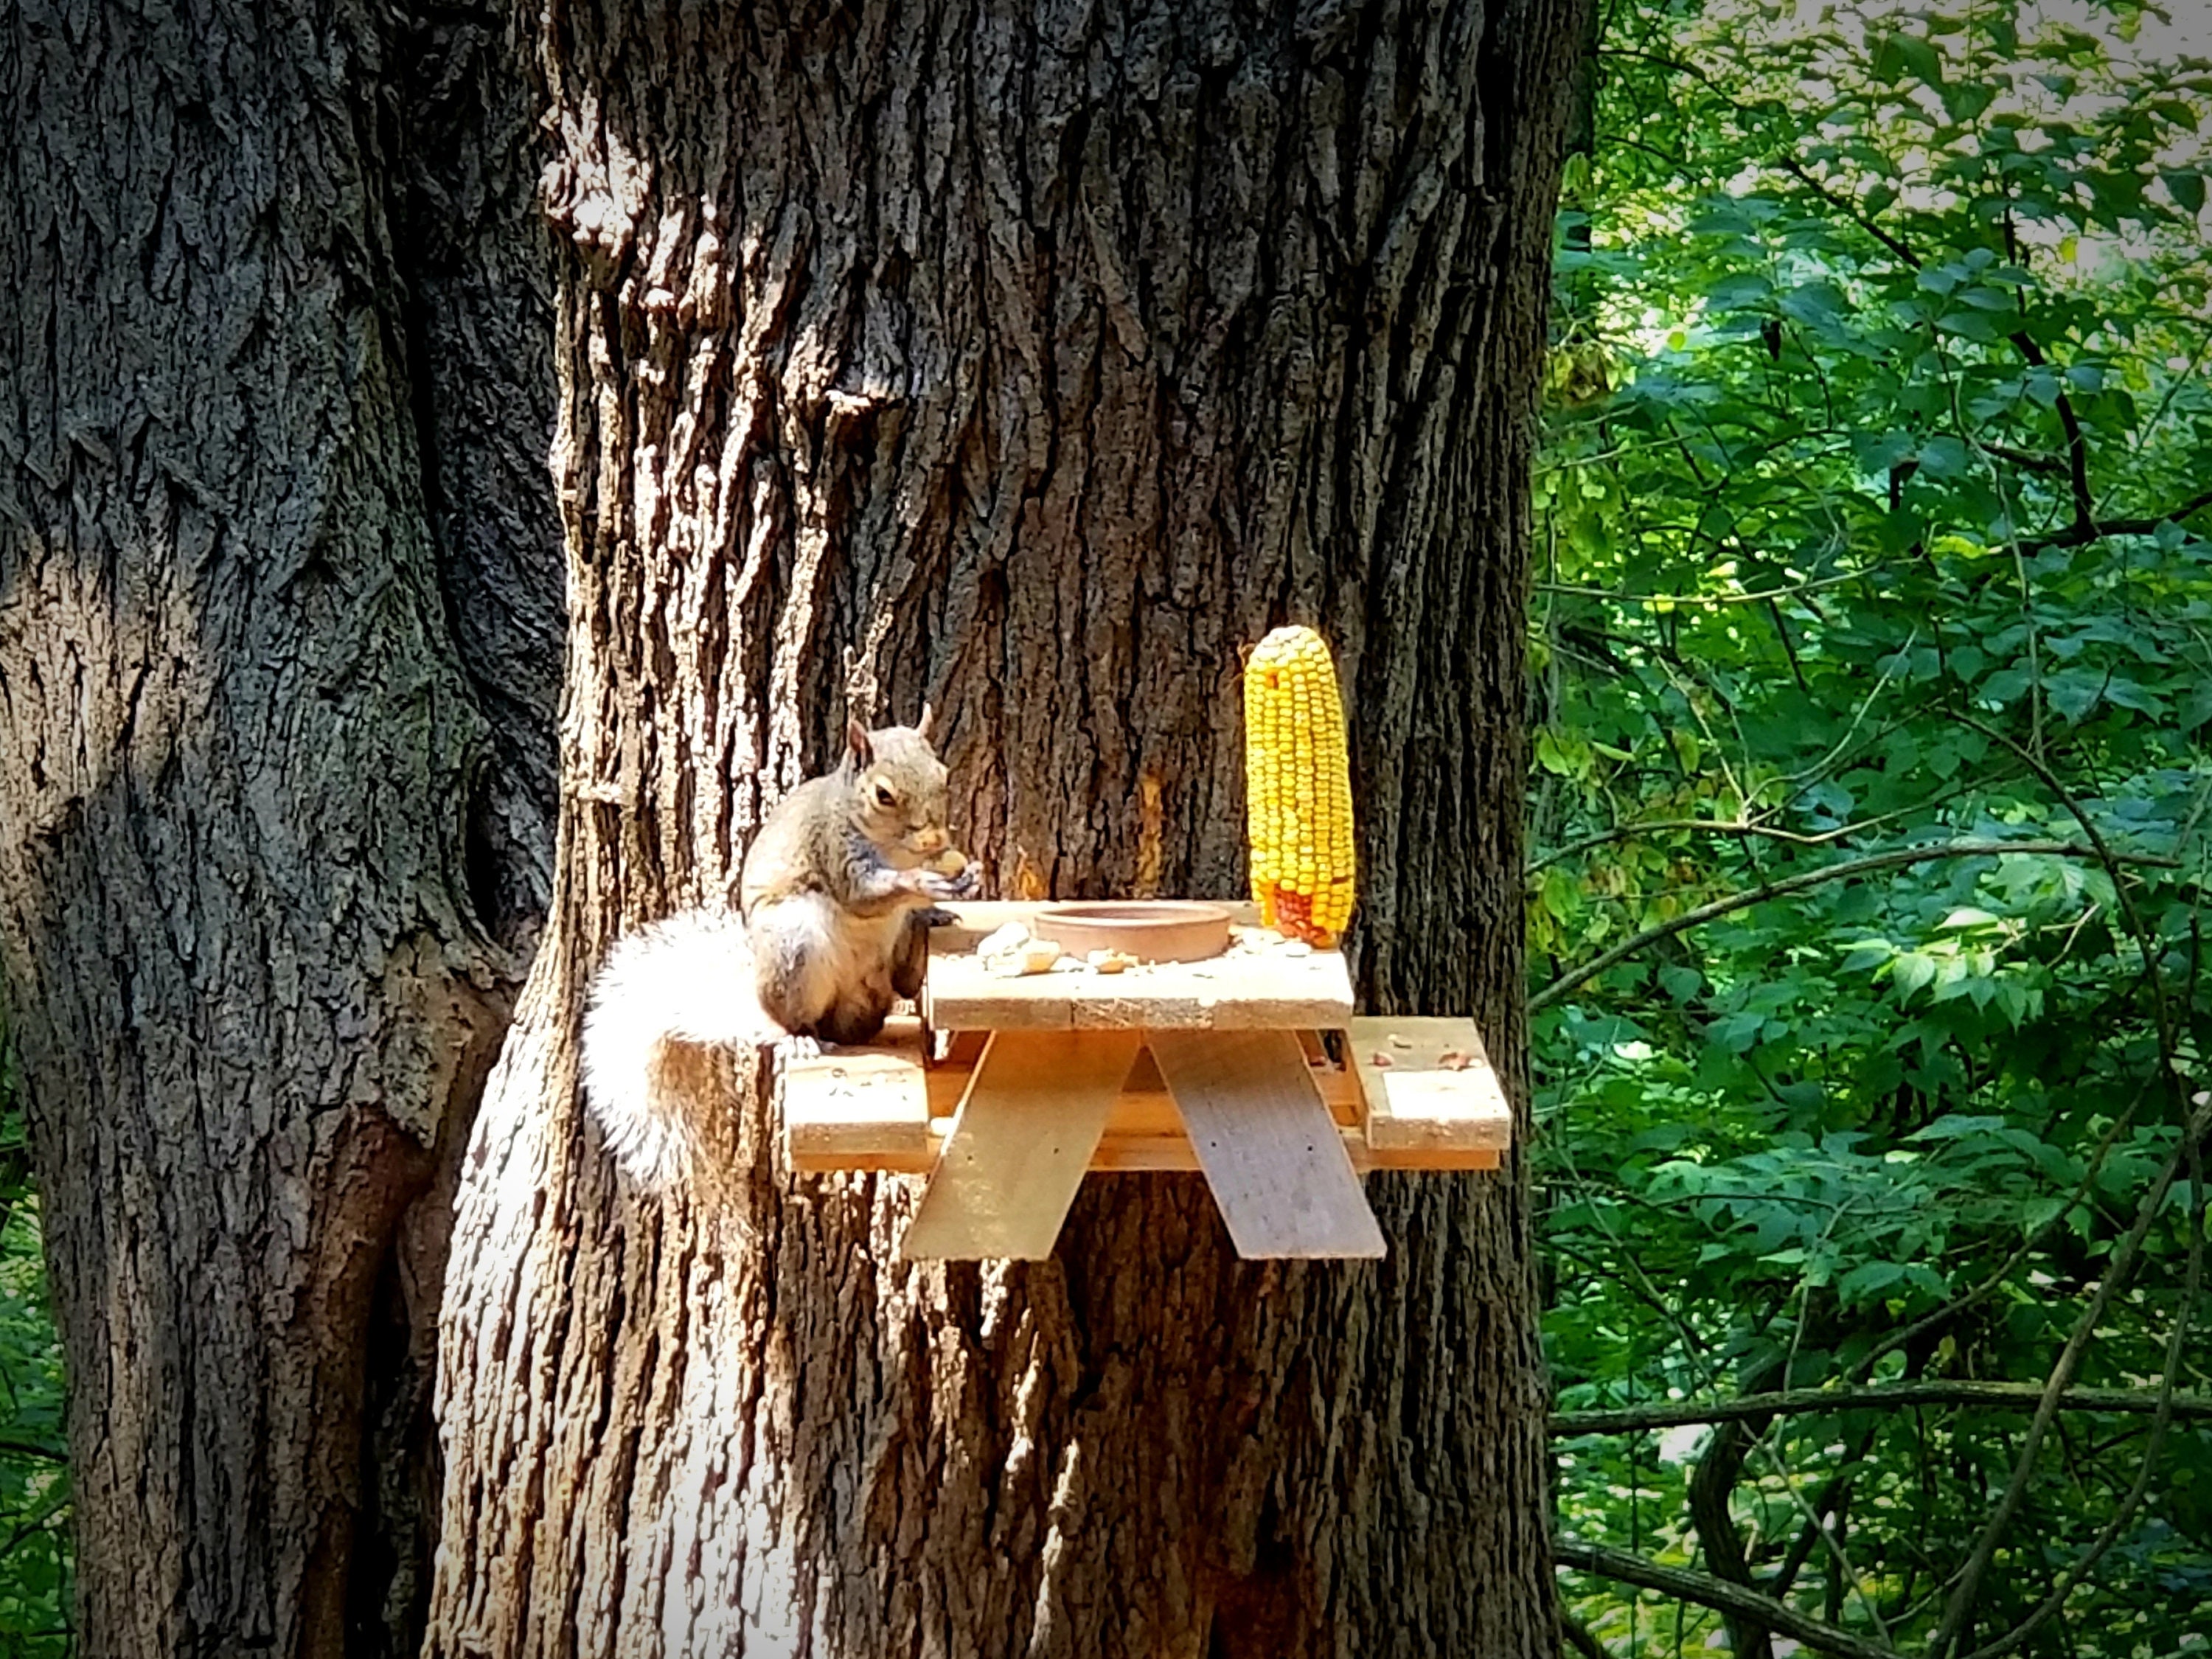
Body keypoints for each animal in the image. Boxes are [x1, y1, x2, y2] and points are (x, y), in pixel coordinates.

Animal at [579, 708, 978, 1187]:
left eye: (944, 775)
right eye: (883, 795)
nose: (936, 842)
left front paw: (952, 891)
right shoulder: (834, 850)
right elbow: (864, 893)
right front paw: (923, 883)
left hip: (883, 960)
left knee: (903, 983)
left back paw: (921, 936)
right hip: (796, 946)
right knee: (795, 1020)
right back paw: (800, 1038)